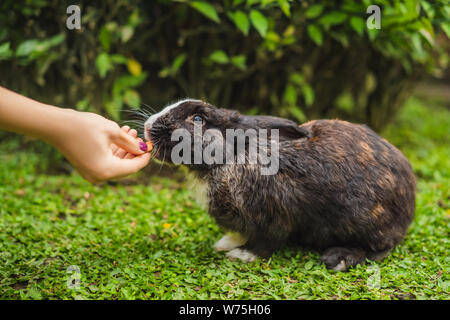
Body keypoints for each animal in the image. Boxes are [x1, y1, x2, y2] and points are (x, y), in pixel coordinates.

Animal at [143, 99, 414, 270]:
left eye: (198, 118)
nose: (147, 127)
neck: (231, 156)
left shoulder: (274, 216)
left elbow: (266, 243)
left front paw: (241, 255)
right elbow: (242, 232)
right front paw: (225, 243)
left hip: (366, 221)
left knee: (381, 248)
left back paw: (339, 259)